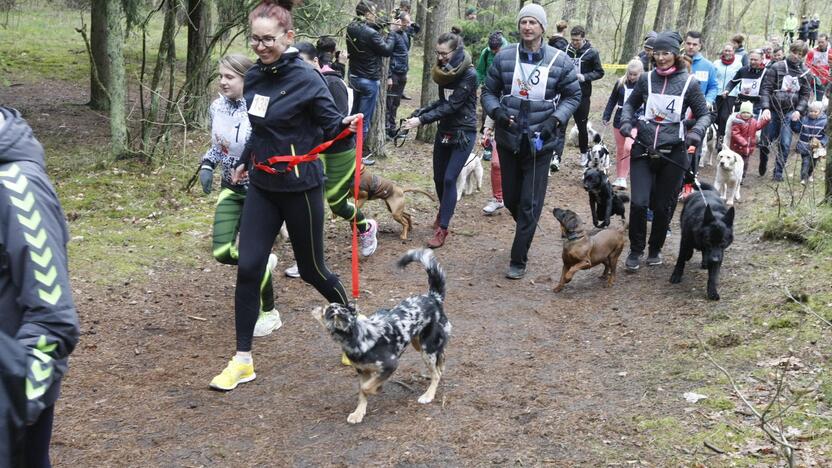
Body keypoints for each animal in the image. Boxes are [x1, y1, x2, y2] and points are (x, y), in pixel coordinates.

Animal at [312, 249, 452, 424]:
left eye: (324, 311)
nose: (314, 307)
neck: (358, 335)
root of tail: (433, 297)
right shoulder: (362, 371)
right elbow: (362, 392)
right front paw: (358, 413)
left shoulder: (390, 365)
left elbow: (365, 388)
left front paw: (376, 389)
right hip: (418, 343)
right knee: (442, 358)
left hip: (427, 348)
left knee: (437, 373)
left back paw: (428, 395)